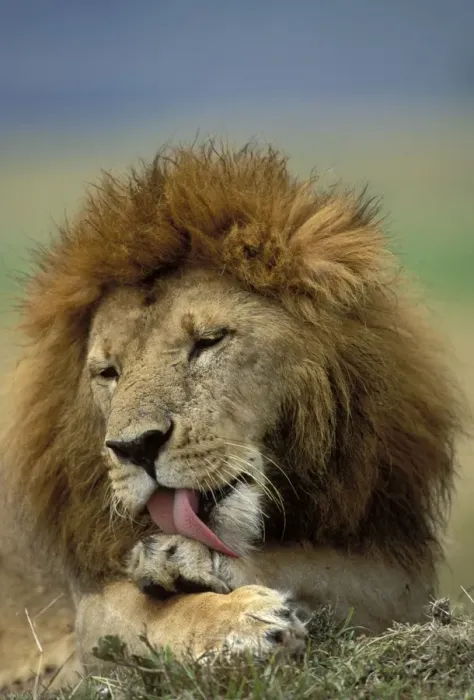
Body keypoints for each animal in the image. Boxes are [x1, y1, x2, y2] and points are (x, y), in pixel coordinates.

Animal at [0, 142, 463, 679]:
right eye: (108, 372)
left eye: (208, 341)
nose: (134, 447)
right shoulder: (89, 616)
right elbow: (147, 614)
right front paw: (234, 619)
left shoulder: (395, 574)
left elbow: (317, 565)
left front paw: (182, 557)